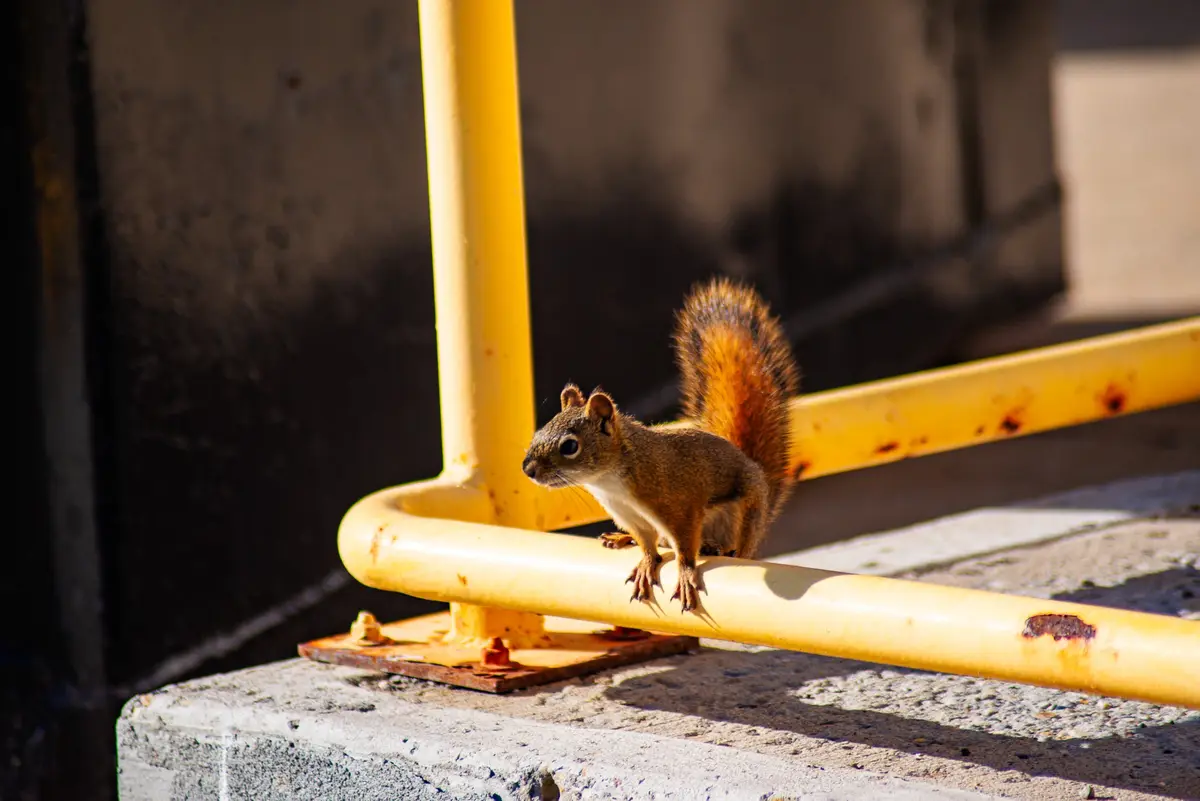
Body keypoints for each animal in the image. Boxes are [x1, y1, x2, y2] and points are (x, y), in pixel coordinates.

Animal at [521, 277, 800, 612]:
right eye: (539, 432)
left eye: (569, 446)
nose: (528, 469)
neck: (611, 478)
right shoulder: (629, 515)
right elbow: (646, 544)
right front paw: (645, 562)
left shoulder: (679, 505)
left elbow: (685, 546)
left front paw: (686, 573)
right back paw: (621, 539)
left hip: (743, 512)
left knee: (732, 543)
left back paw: (720, 547)